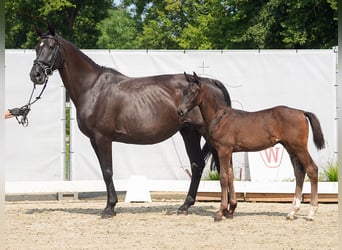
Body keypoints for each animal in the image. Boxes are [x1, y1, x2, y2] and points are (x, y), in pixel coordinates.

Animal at [29, 24, 231, 218]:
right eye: (37, 47)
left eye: (51, 46)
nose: (35, 75)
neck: (93, 88)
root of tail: (209, 82)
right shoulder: (95, 140)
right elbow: (104, 171)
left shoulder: (103, 138)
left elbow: (107, 171)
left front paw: (109, 208)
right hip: (189, 133)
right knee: (198, 165)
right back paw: (185, 206)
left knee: (221, 167)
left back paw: (225, 209)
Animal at [179, 72, 326, 221]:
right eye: (184, 91)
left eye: (194, 92)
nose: (180, 111)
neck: (220, 117)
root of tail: (301, 112)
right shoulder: (229, 151)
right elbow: (231, 176)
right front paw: (230, 211)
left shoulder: (223, 150)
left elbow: (223, 177)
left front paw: (220, 212)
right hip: (290, 148)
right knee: (299, 172)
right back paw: (292, 212)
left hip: (299, 148)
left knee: (312, 169)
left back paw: (311, 213)